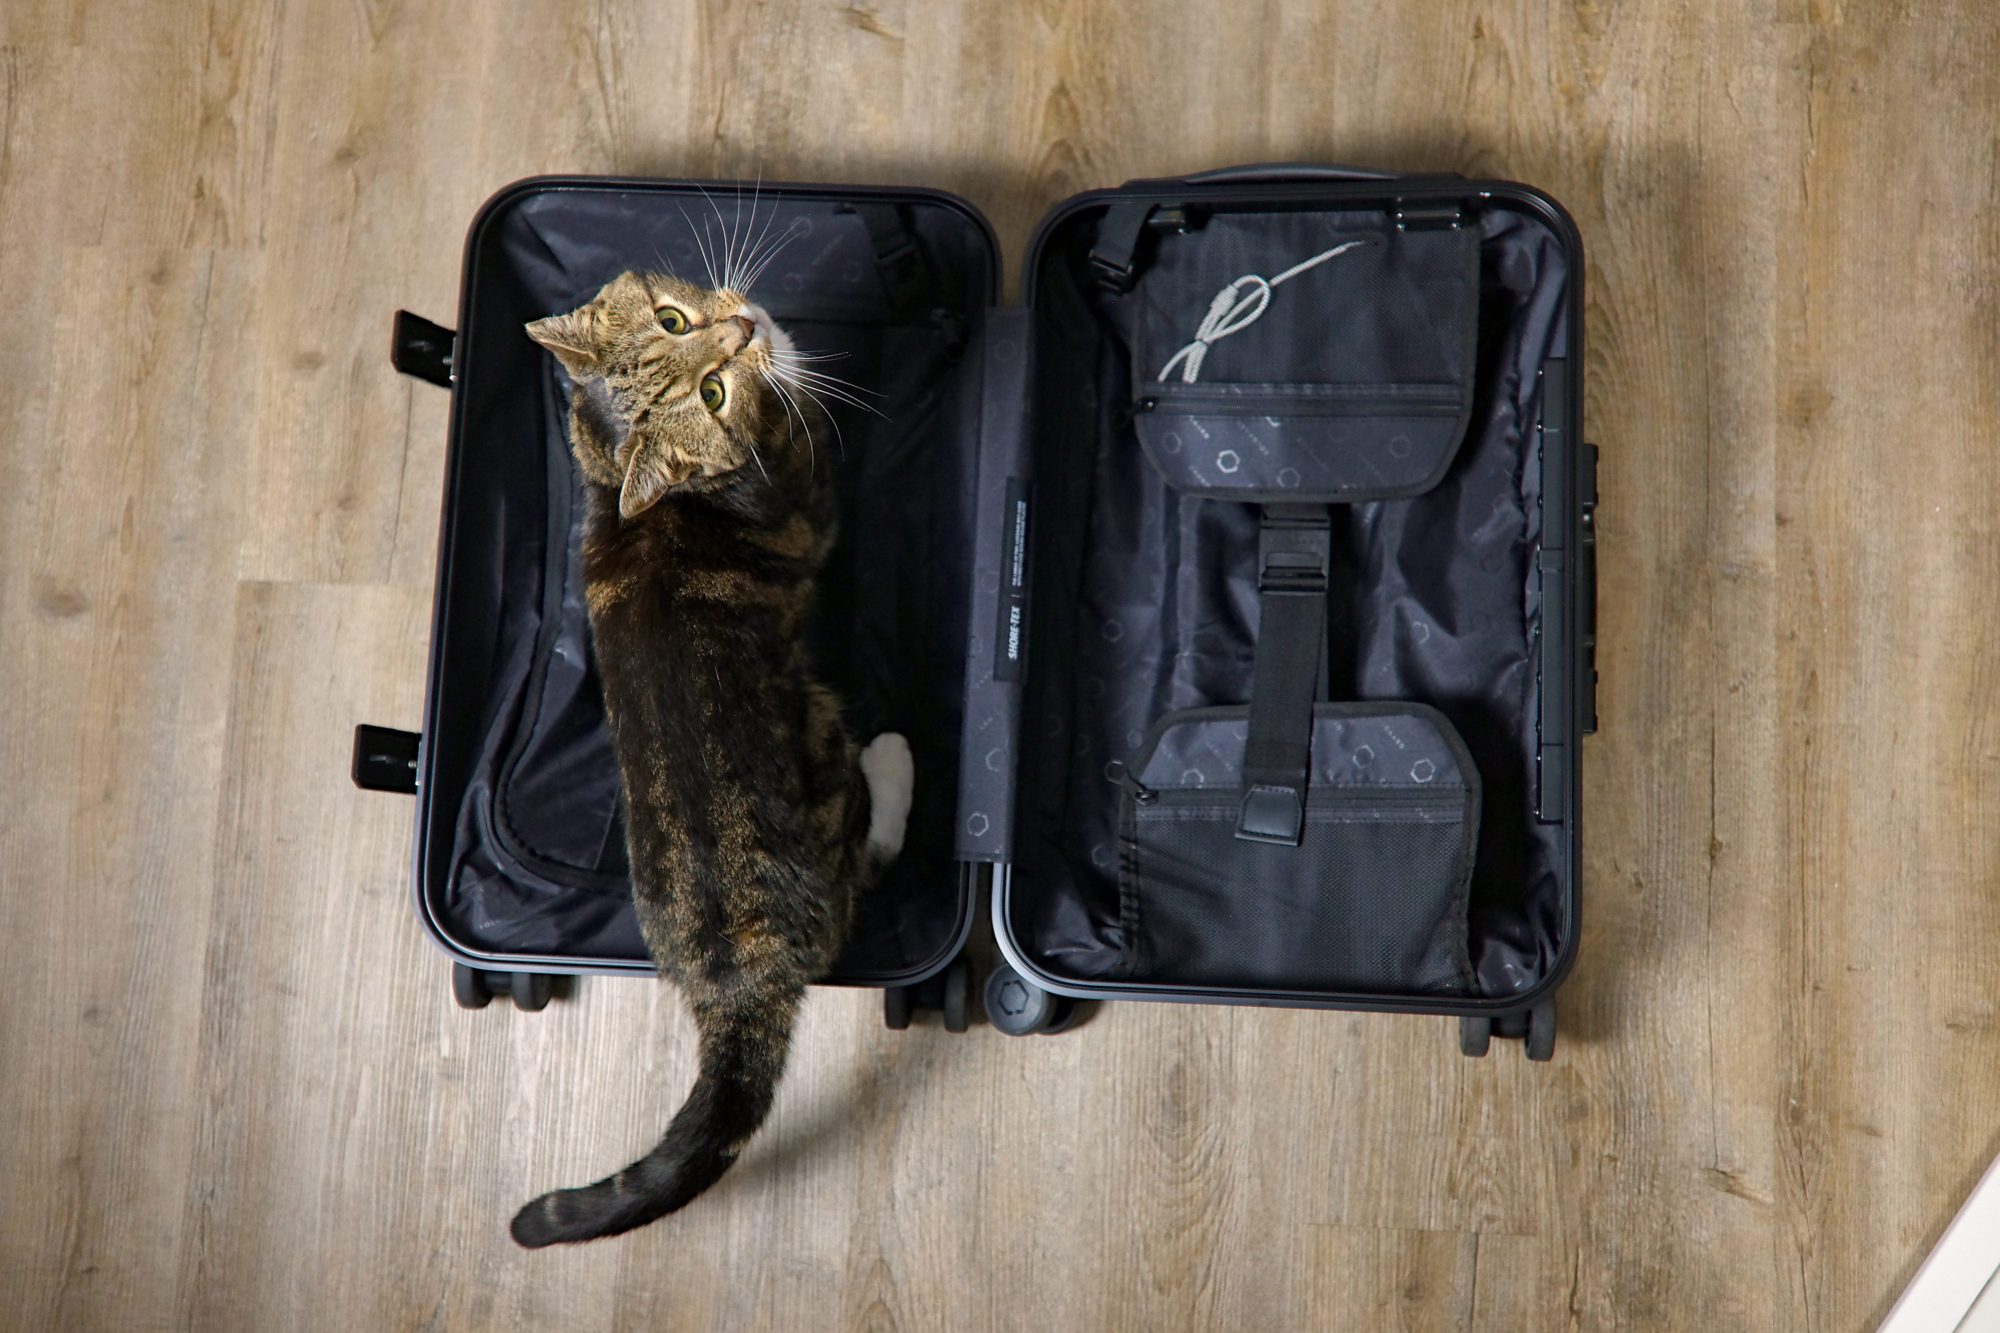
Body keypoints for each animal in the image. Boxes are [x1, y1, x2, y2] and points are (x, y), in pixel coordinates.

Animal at [516, 270, 920, 1248]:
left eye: (672, 318)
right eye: (710, 393)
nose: (742, 327)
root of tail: (739, 985)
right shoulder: (813, 495)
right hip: (821, 746)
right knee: (870, 845)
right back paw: (895, 762)